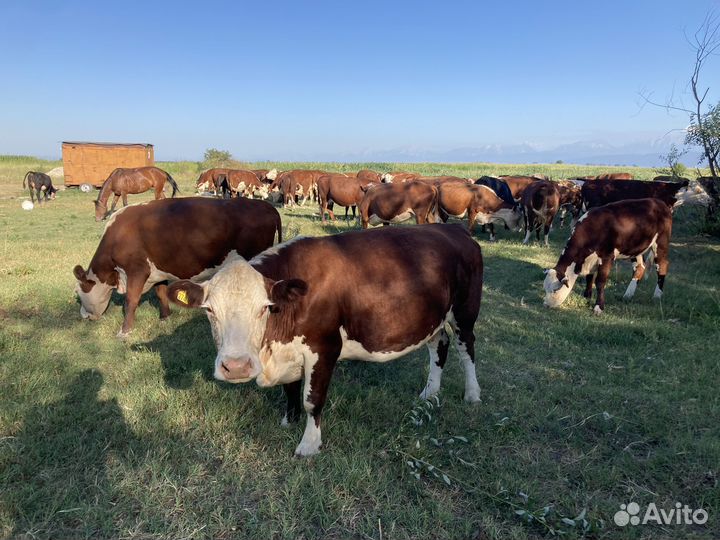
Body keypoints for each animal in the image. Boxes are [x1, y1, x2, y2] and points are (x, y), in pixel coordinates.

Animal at [74, 194, 282, 338]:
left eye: (79, 293)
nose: (83, 315)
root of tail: (266, 206)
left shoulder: (137, 271)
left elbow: (130, 301)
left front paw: (124, 332)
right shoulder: (157, 272)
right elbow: (161, 293)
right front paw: (165, 318)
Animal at [167, 224, 486, 456]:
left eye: (264, 307)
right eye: (209, 310)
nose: (236, 367)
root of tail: (453, 228)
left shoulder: (325, 348)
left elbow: (313, 399)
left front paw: (309, 444)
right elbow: (290, 389)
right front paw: (289, 420)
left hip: (464, 311)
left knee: (466, 348)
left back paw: (472, 394)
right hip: (434, 317)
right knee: (438, 346)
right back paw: (430, 393)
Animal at [544, 198, 676, 316]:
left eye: (555, 289)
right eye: (545, 288)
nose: (545, 304)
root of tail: (660, 203)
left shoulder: (607, 257)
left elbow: (600, 282)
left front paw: (598, 307)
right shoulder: (590, 260)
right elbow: (589, 278)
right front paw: (587, 297)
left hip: (661, 243)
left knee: (662, 266)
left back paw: (657, 296)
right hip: (636, 249)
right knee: (639, 268)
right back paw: (628, 295)